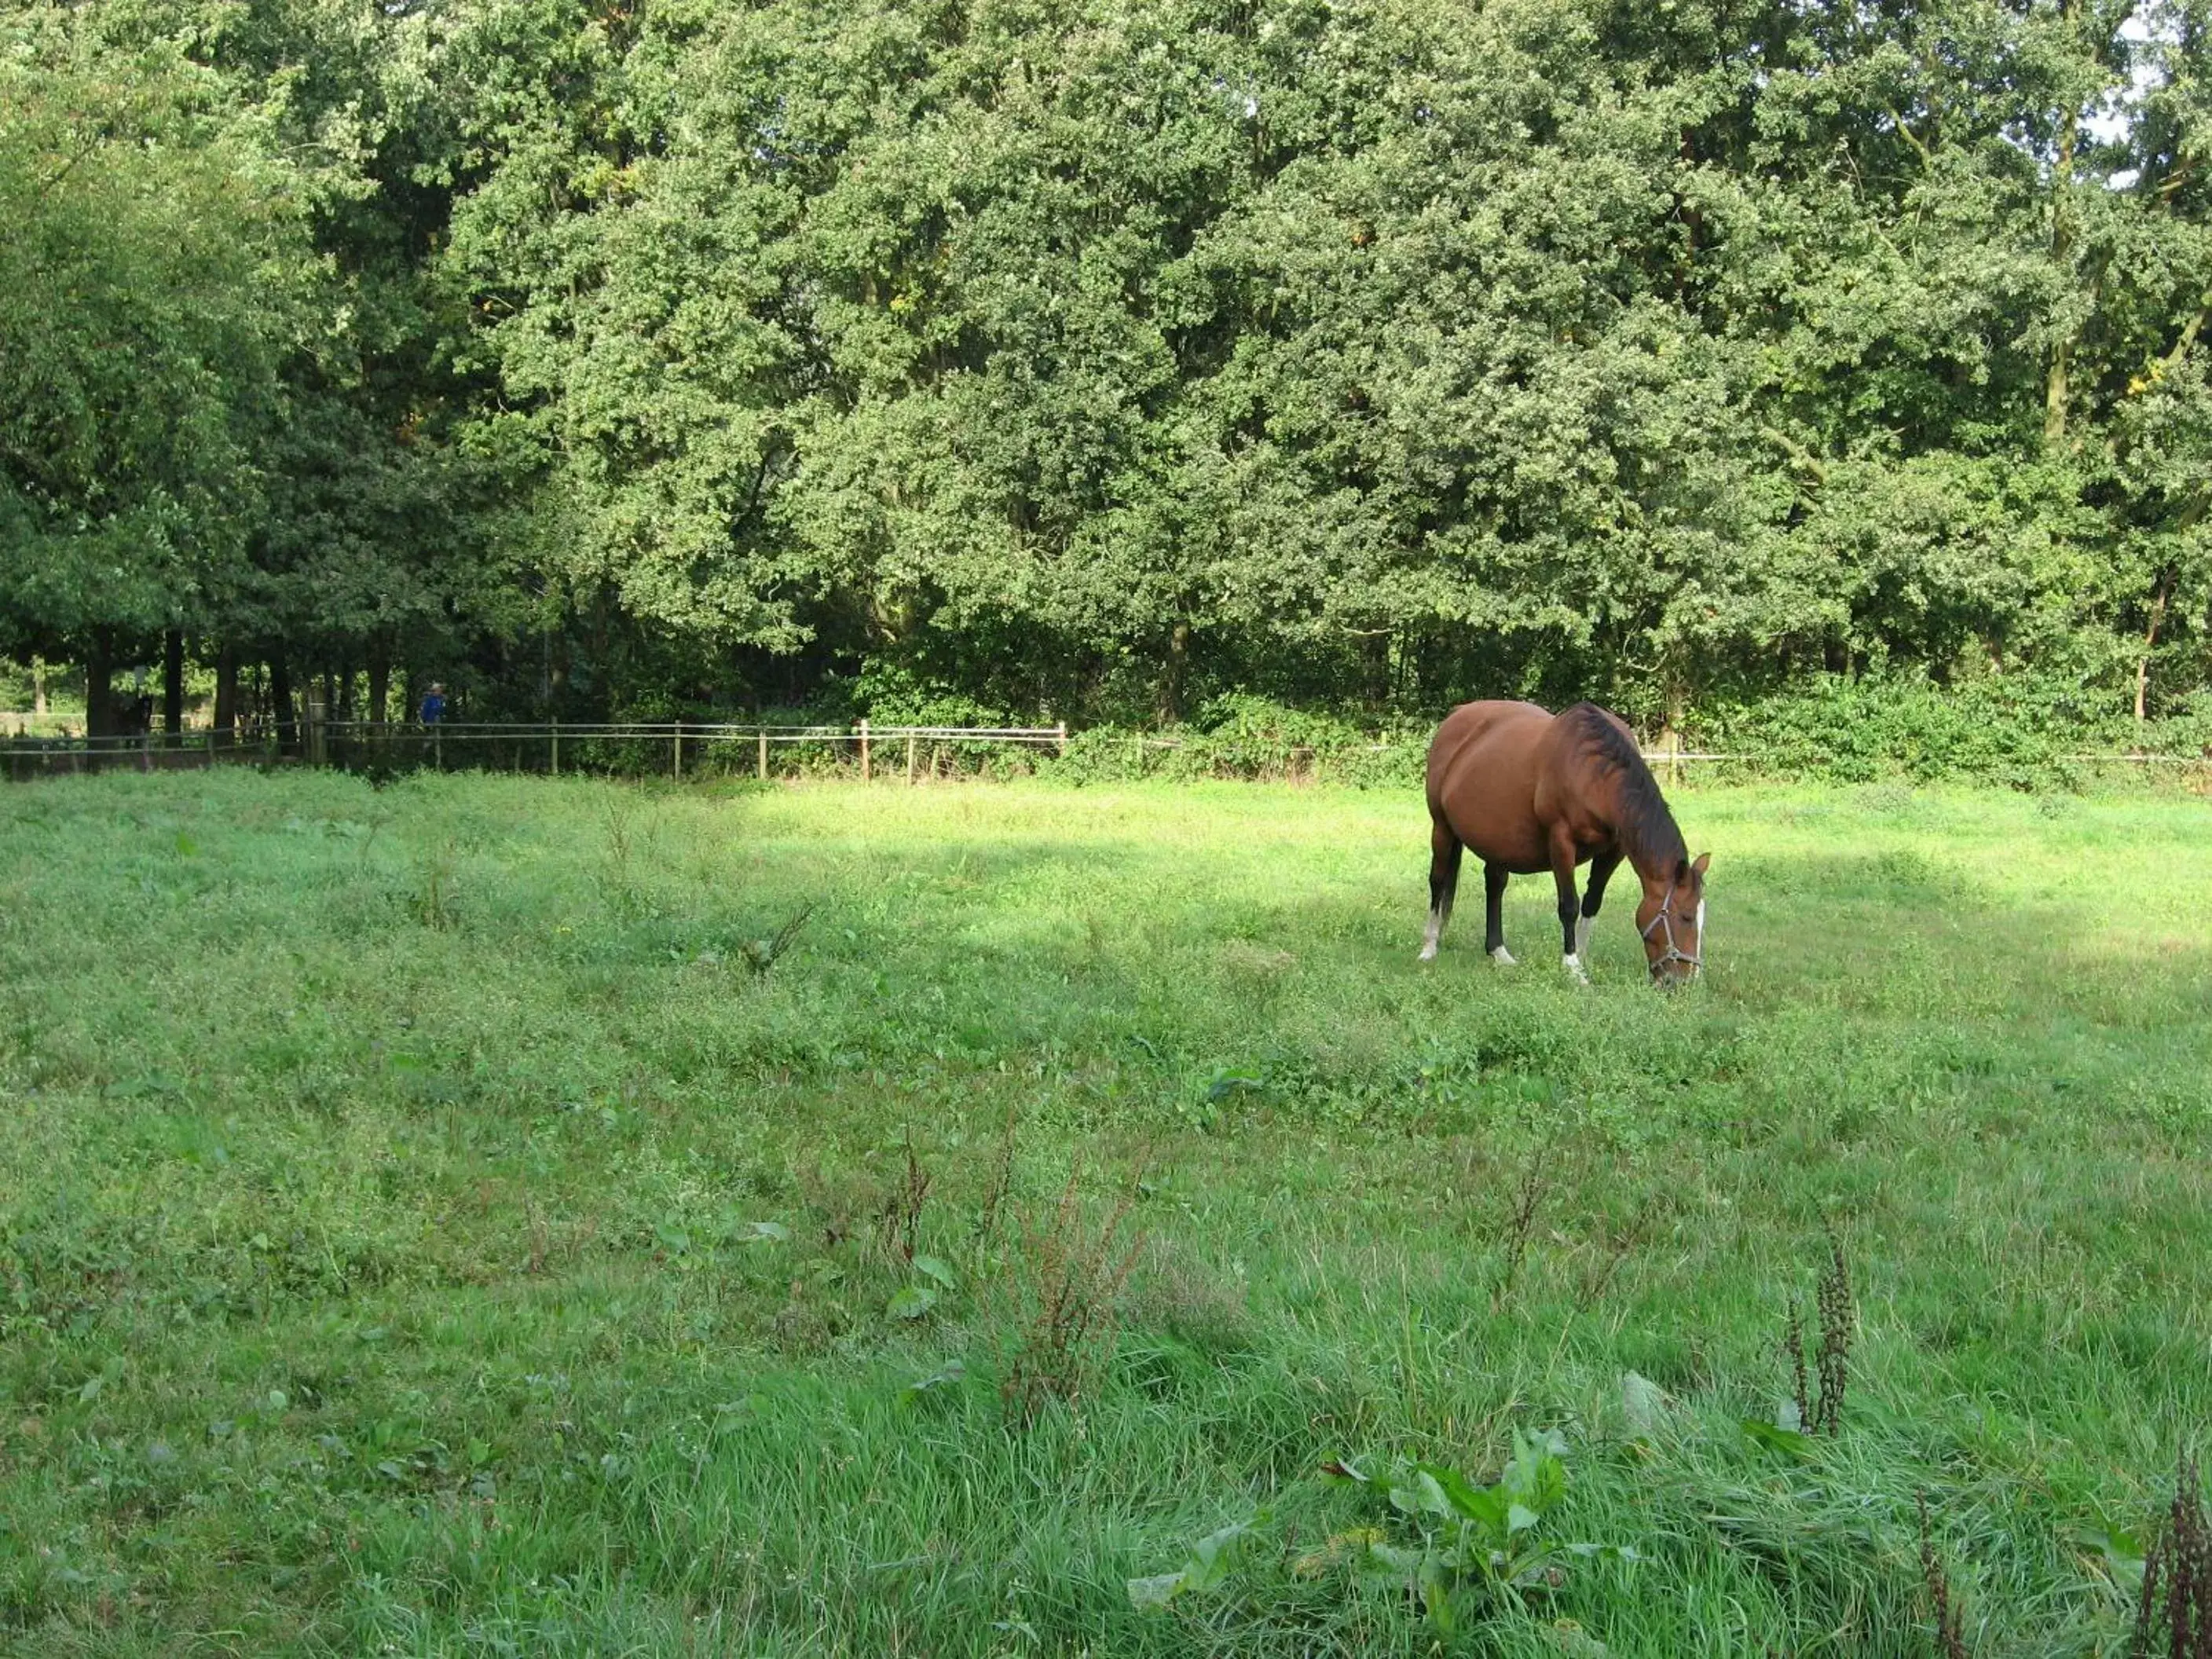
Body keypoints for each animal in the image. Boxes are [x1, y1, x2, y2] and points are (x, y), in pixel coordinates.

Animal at [1415, 703, 1707, 986]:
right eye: (1686, 917)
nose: (1685, 982)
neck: (1592, 773)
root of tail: (1456, 715)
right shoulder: (1561, 841)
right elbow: (1569, 905)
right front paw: (1573, 967)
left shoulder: (1614, 850)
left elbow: (1592, 902)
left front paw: (1582, 955)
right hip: (1442, 828)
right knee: (1438, 881)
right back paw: (1429, 947)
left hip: (1498, 840)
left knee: (1495, 886)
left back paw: (1499, 952)